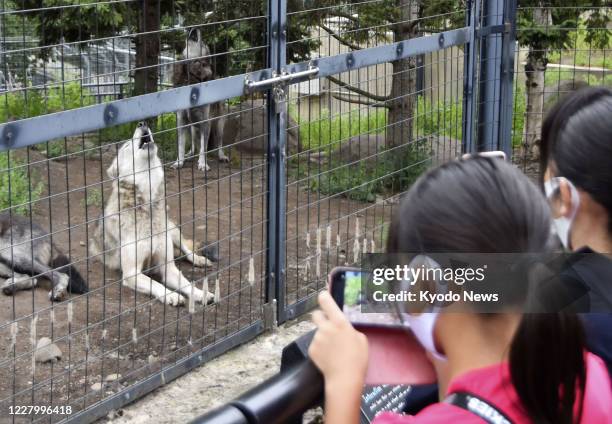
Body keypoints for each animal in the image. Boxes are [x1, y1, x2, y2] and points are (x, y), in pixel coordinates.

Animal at [172, 28, 230, 172]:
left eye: (203, 43)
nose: (194, 28)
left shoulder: (205, 122)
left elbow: (204, 147)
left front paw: (203, 164)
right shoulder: (181, 121)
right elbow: (181, 146)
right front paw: (179, 162)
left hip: (219, 125)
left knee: (219, 143)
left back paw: (222, 156)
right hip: (192, 127)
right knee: (193, 144)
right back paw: (190, 154)